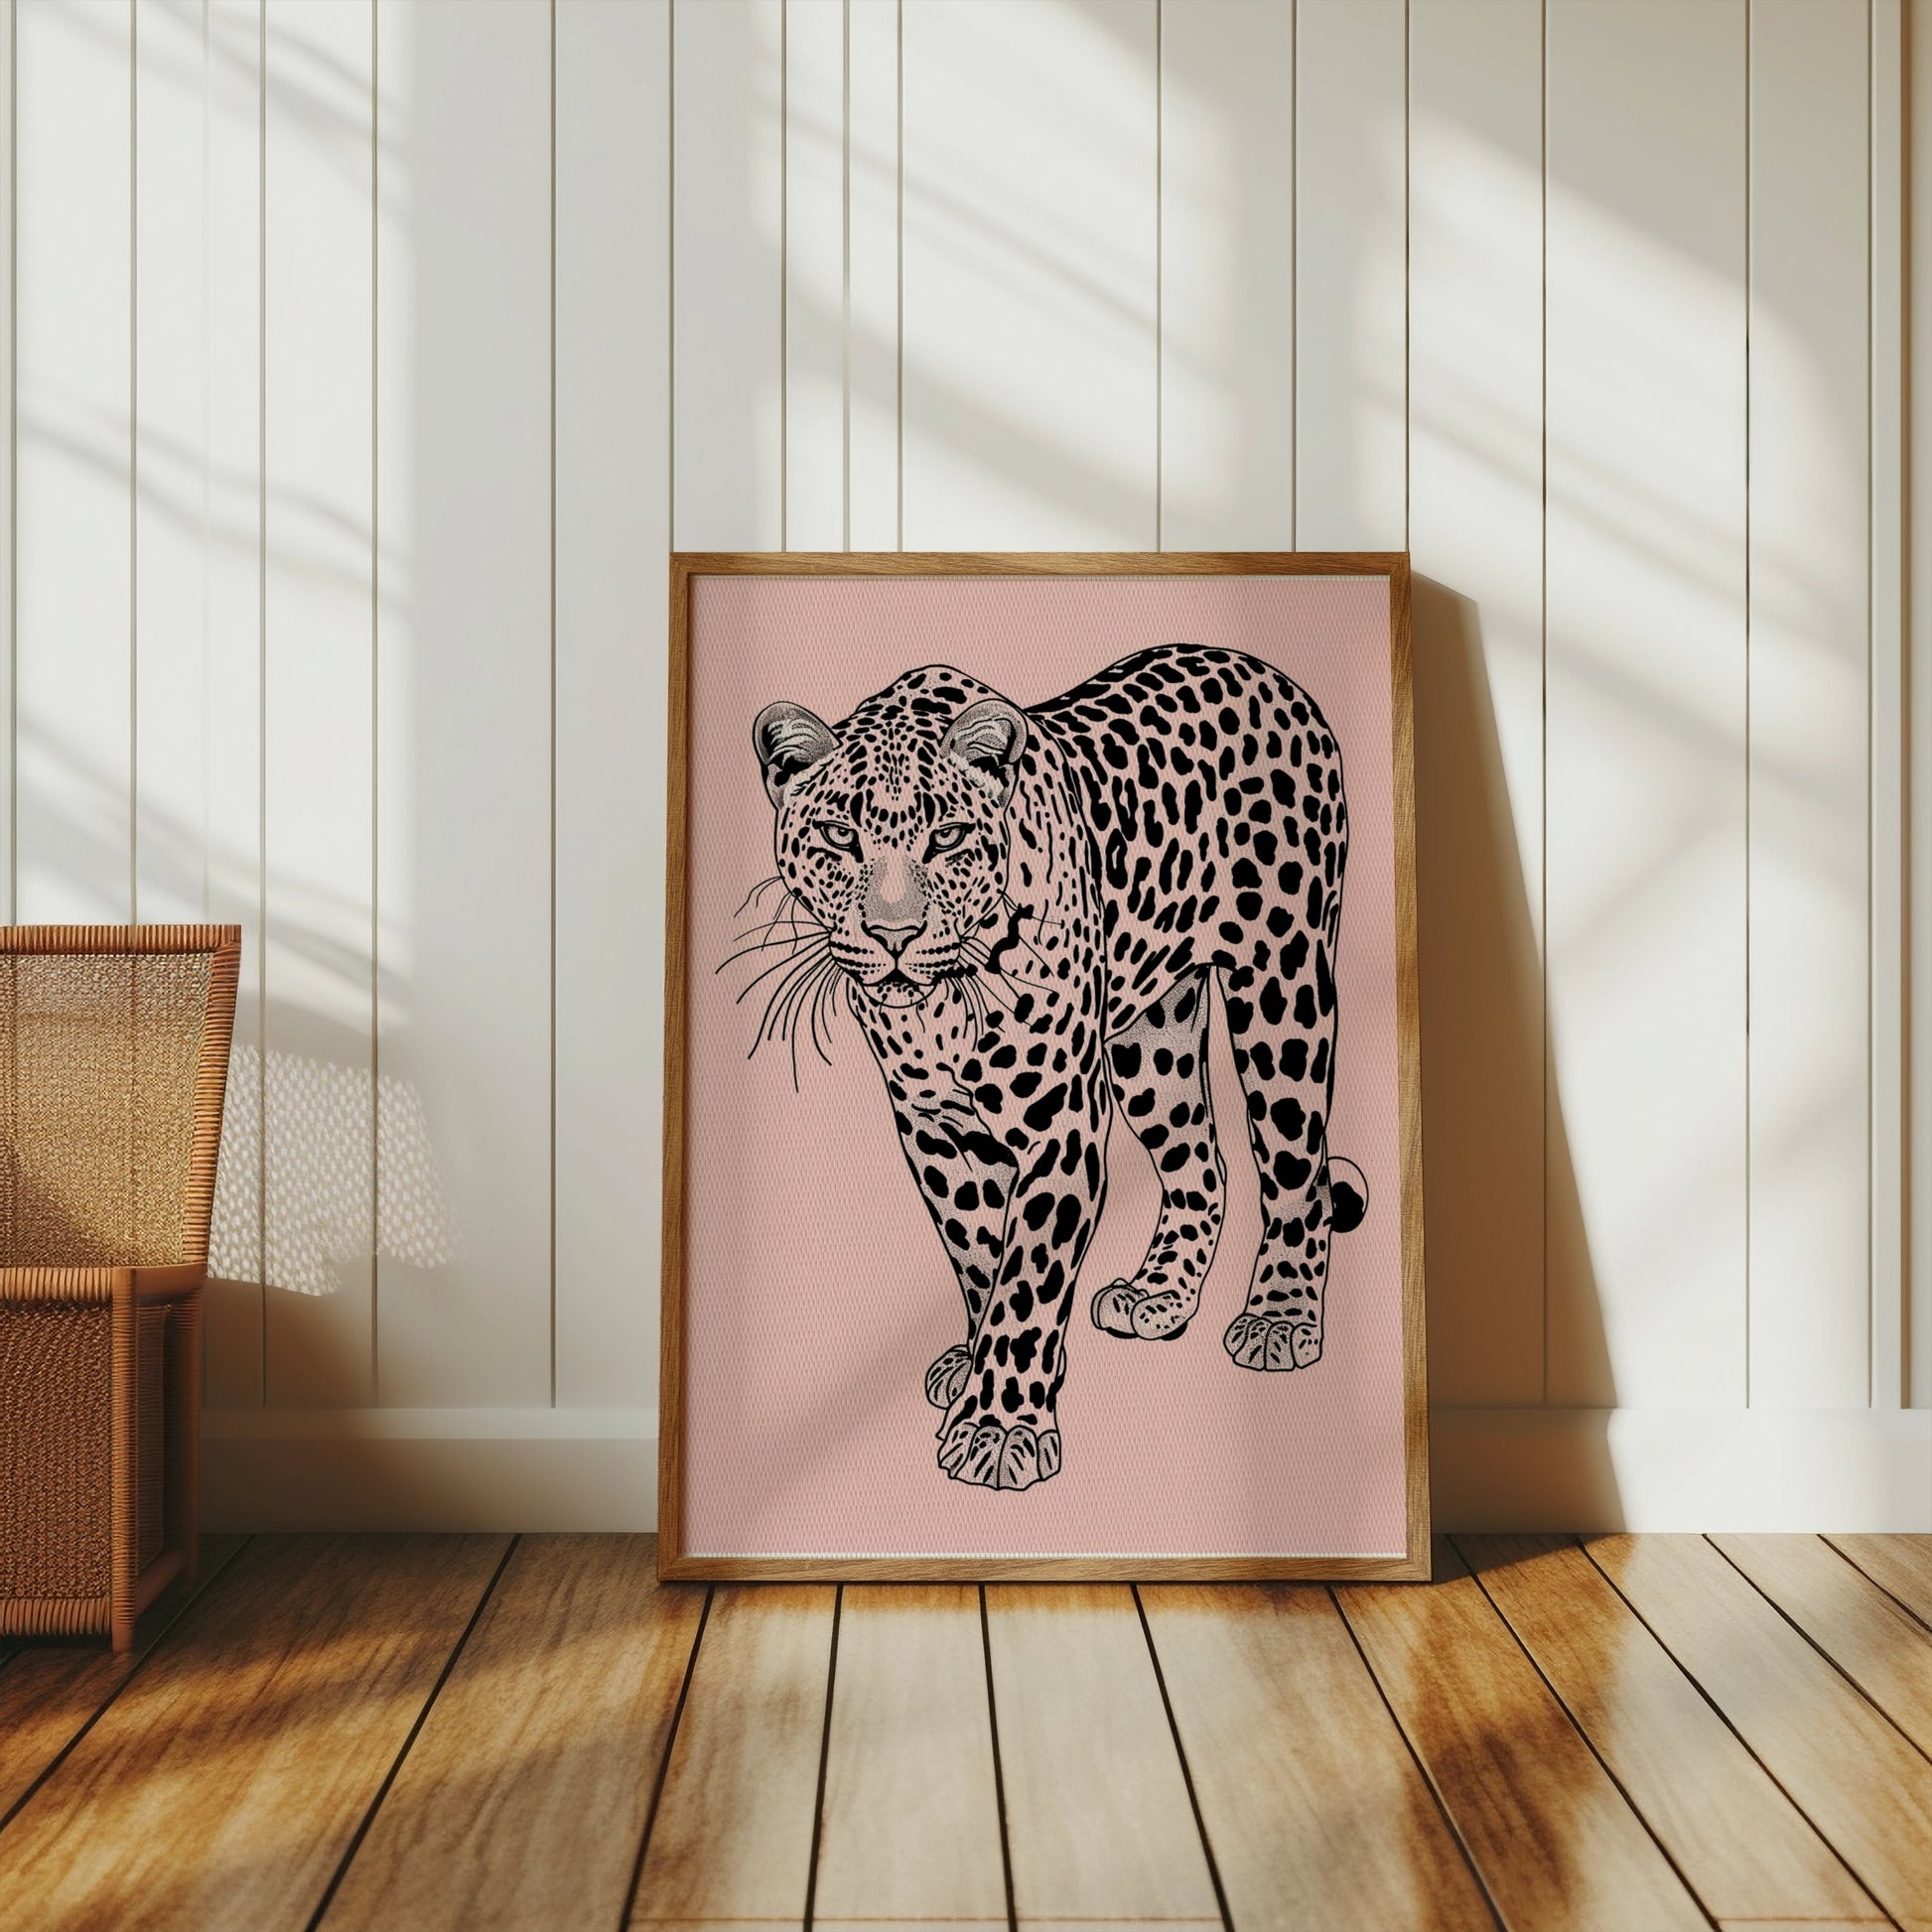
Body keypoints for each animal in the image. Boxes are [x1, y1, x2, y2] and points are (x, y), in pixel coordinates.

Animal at [740, 642, 1368, 1493]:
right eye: (839, 836)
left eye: (947, 837)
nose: (894, 935)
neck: (941, 1009)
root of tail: (1266, 672)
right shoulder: (935, 1130)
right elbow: (980, 1256)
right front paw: (986, 1372)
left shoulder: (1062, 1125)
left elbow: (1029, 1274)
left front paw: (1001, 1427)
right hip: (1151, 1039)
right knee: (1202, 1164)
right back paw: (1159, 1295)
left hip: (1283, 988)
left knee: (1294, 1166)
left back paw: (1280, 1316)